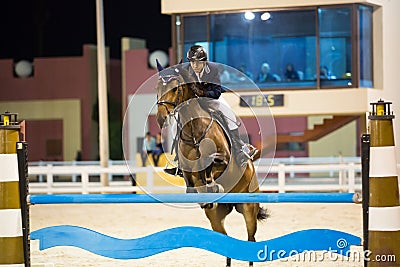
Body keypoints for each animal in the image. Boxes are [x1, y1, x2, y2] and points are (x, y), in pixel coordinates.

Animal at [155, 62, 268, 267]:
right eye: (157, 88)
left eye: (175, 88)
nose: (161, 118)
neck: (194, 130)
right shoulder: (188, 171)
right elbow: (191, 178)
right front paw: (201, 193)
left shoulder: (223, 161)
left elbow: (212, 165)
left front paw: (213, 185)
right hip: (216, 217)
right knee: (225, 239)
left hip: (249, 208)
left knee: (251, 239)